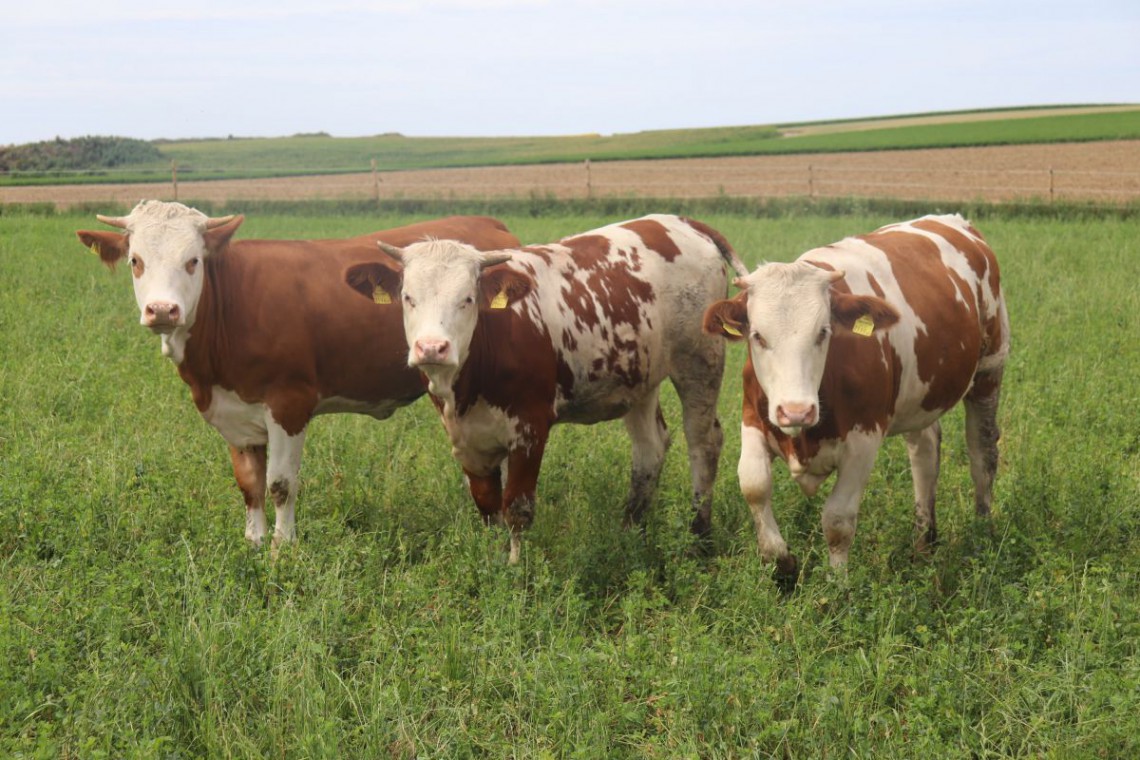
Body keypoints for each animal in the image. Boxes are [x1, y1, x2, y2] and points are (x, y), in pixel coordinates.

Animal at [80, 200, 522, 546]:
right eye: (136, 261)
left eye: (193, 261)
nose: (162, 310)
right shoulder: (234, 412)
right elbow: (249, 484)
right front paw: (254, 543)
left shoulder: (289, 404)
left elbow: (279, 484)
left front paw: (283, 548)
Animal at [342, 213, 747, 558]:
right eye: (408, 298)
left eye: (467, 299)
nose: (432, 348)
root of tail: (677, 221)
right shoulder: (466, 438)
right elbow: (488, 505)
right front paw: (490, 561)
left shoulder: (530, 428)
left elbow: (517, 507)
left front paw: (515, 572)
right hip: (640, 375)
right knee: (650, 448)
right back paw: (630, 532)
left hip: (700, 360)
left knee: (704, 443)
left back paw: (698, 538)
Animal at [702, 214, 1007, 583]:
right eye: (758, 336)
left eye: (823, 332)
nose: (796, 412)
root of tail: (954, 221)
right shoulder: (753, 418)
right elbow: (754, 486)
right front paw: (782, 564)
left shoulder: (864, 438)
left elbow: (837, 520)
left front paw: (837, 585)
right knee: (924, 454)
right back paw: (923, 542)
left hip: (990, 370)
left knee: (982, 455)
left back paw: (982, 534)